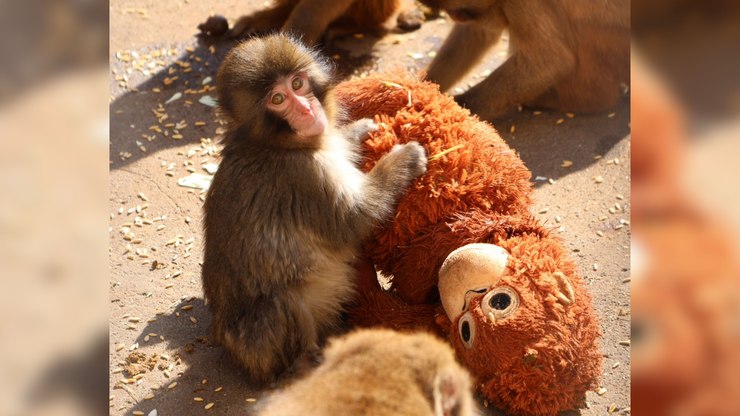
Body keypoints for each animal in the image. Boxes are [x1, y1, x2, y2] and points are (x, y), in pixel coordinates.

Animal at [202, 34, 428, 385]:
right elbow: (354, 219)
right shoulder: (304, 175)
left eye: (298, 83)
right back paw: (308, 363)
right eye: (278, 98)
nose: (307, 109)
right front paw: (403, 159)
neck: (275, 143)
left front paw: (357, 131)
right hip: (260, 346)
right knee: (283, 301)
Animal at [421, 0, 631, 120]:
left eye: (457, 11)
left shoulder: (522, 2)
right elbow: (478, 33)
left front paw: (456, 111)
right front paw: (424, 86)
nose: (454, 16)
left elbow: (550, 61)